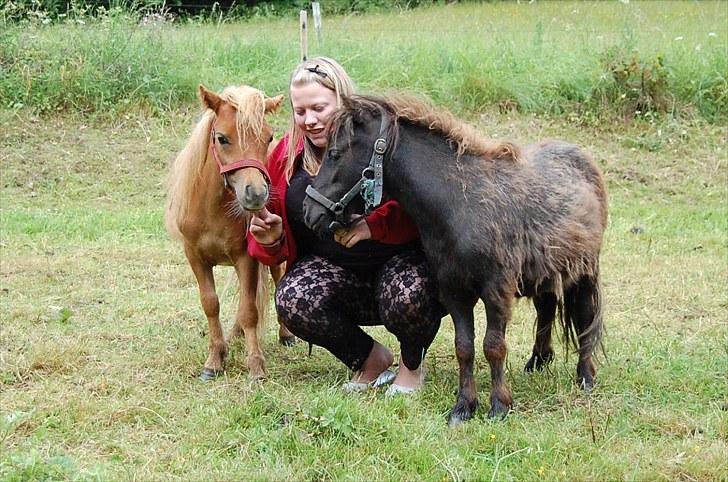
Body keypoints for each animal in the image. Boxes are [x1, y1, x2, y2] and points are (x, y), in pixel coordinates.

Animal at [302, 94, 608, 426]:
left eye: (335, 154)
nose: (309, 211)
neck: (461, 205)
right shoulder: (454, 292)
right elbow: (465, 347)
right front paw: (464, 406)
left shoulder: (495, 291)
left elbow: (493, 347)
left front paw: (498, 407)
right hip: (546, 274)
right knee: (547, 308)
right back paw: (538, 361)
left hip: (586, 271)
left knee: (586, 316)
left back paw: (585, 377)